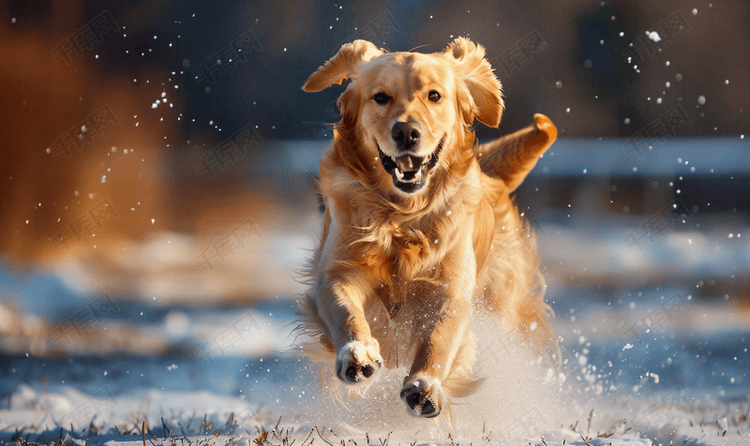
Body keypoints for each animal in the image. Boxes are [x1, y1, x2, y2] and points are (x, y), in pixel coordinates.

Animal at [296, 36, 560, 420]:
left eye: (434, 95)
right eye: (380, 97)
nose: (406, 131)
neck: (402, 217)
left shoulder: (452, 290)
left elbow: (440, 338)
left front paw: (425, 386)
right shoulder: (337, 271)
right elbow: (345, 309)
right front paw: (357, 354)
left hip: (505, 304)